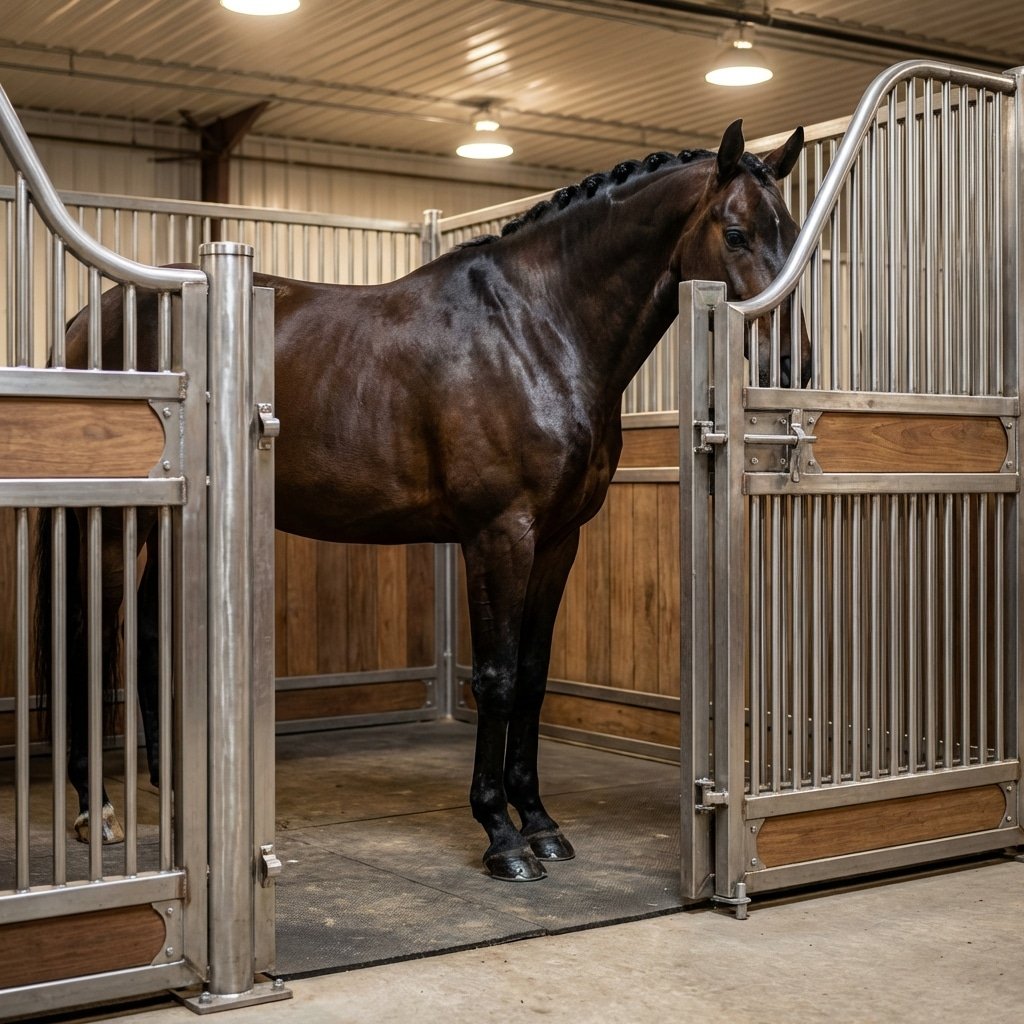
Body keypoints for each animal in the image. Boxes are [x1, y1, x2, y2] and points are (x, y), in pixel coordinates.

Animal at [39, 119, 809, 881]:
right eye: (735, 233)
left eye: (795, 233)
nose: (790, 367)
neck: (535, 330)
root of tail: (87, 319)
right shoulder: (499, 534)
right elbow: (496, 679)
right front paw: (501, 836)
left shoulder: (559, 538)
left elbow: (533, 677)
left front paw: (541, 824)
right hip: (119, 521)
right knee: (93, 636)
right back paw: (95, 810)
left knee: (143, 633)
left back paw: (169, 797)